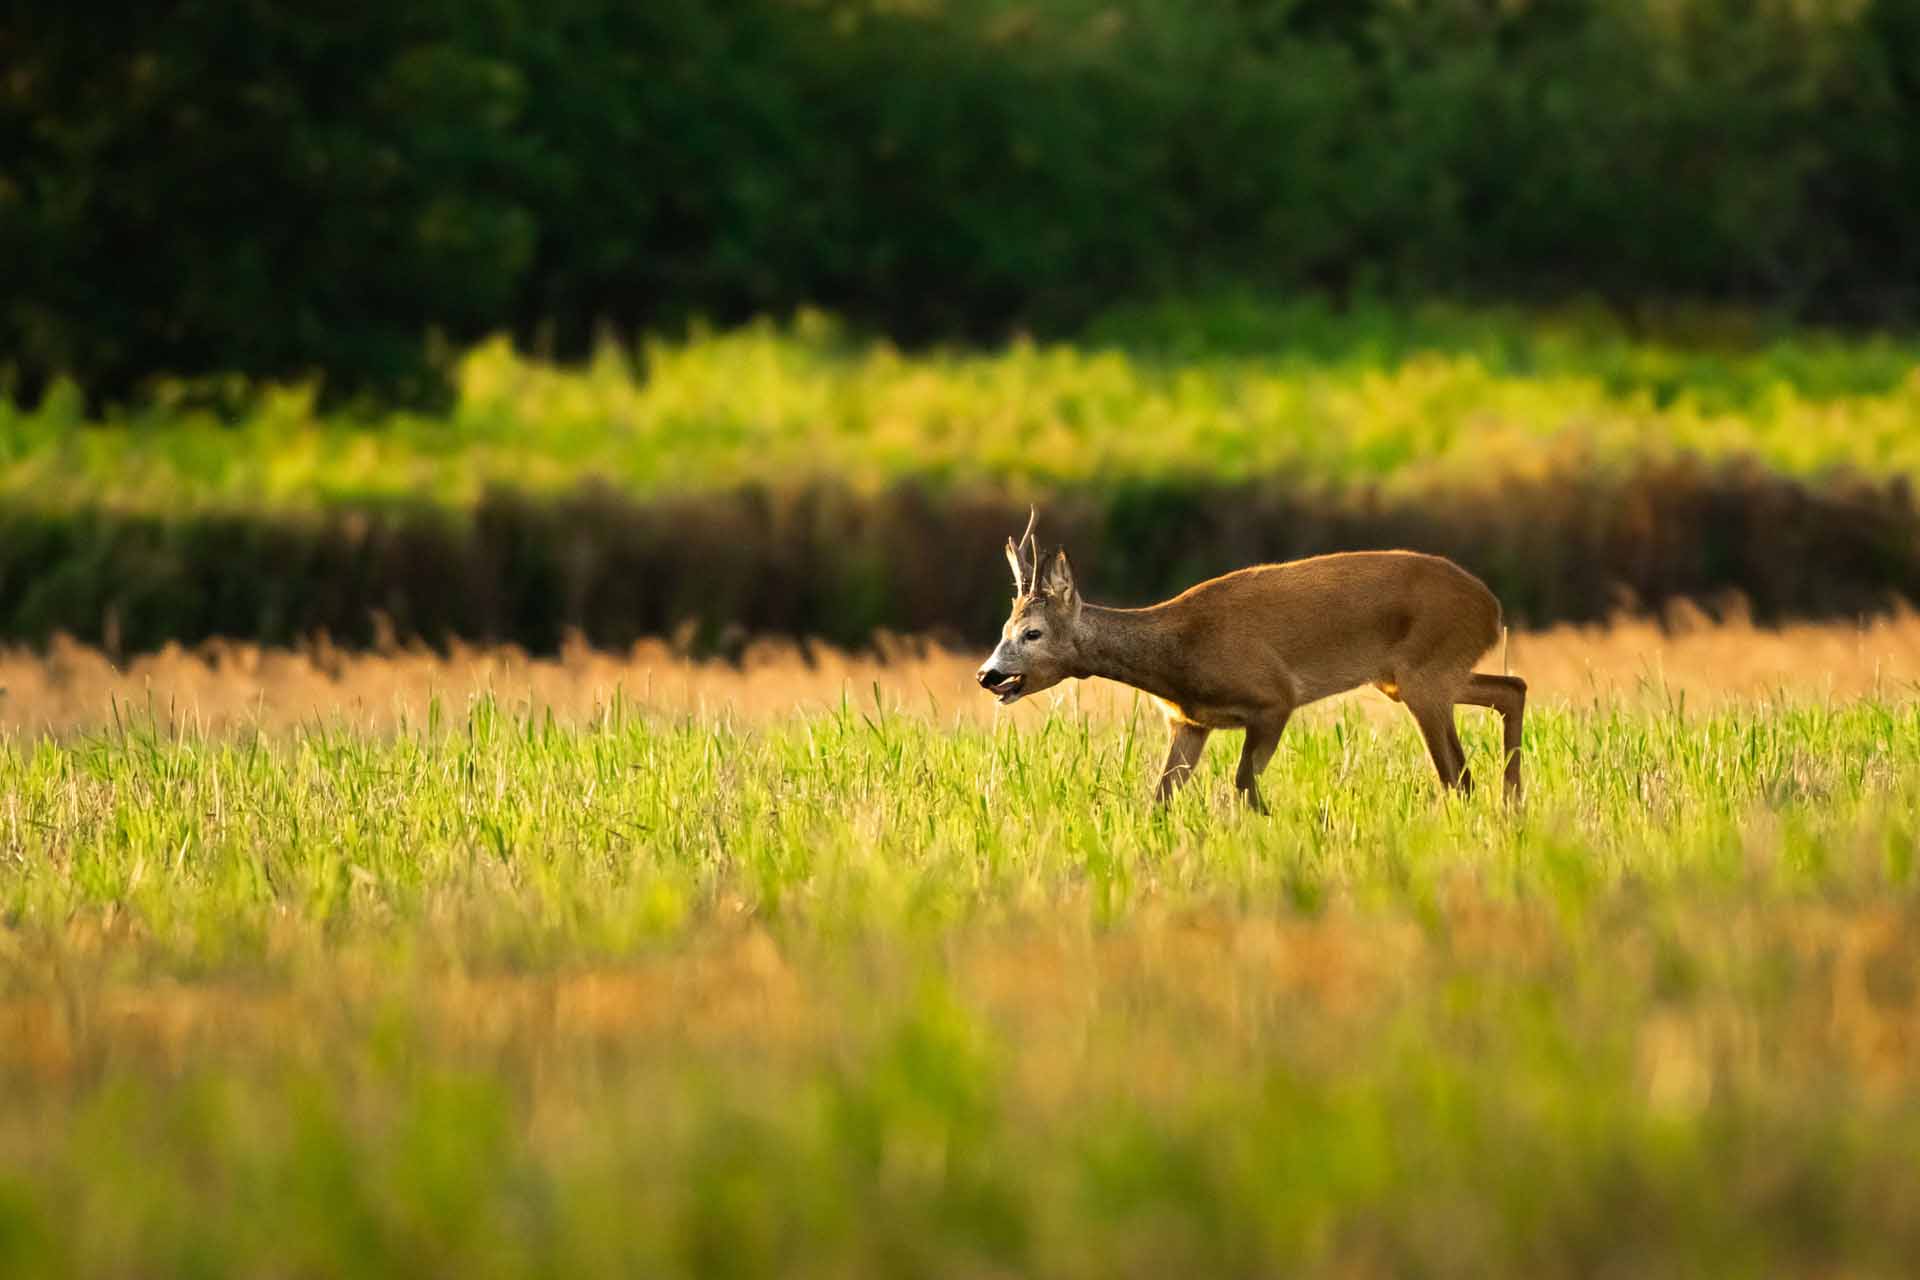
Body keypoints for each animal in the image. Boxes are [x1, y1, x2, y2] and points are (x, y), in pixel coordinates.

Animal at [975, 510, 1528, 809]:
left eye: (1032, 632)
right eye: (1002, 630)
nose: (987, 674)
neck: (1177, 654)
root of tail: (1491, 606)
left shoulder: (1273, 699)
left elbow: (1243, 786)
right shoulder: (1190, 723)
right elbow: (1161, 799)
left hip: (1423, 676)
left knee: (1458, 776)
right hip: (1414, 676)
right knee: (1511, 690)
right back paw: (1514, 805)